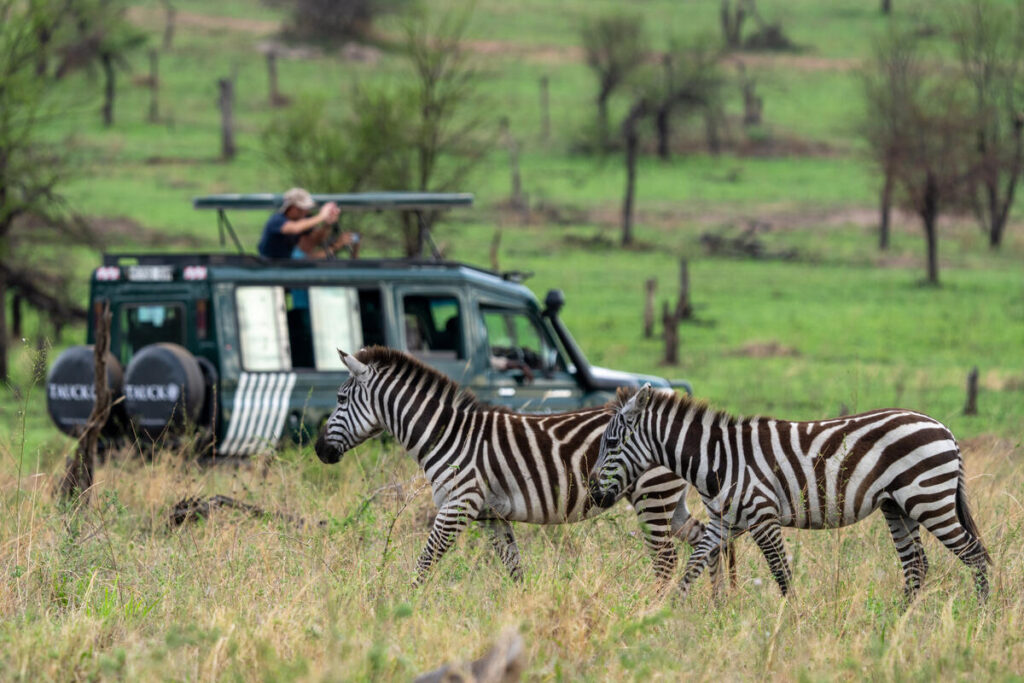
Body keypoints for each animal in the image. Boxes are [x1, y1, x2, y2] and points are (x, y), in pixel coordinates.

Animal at [313, 346, 732, 586]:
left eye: (340, 398)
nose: (319, 451)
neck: (446, 435)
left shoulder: (458, 505)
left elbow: (426, 561)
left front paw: (401, 607)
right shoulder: (491, 515)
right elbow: (513, 568)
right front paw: (522, 612)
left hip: (652, 496)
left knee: (666, 560)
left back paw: (658, 610)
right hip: (670, 501)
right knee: (709, 543)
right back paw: (715, 608)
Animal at [589, 384, 990, 601]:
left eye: (611, 443)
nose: (592, 492)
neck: (718, 458)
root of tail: (945, 429)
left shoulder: (762, 517)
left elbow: (781, 574)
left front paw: (793, 622)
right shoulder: (723, 521)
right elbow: (693, 566)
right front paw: (670, 613)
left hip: (929, 499)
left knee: (975, 556)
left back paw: (981, 618)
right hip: (898, 507)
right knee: (916, 565)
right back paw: (898, 623)